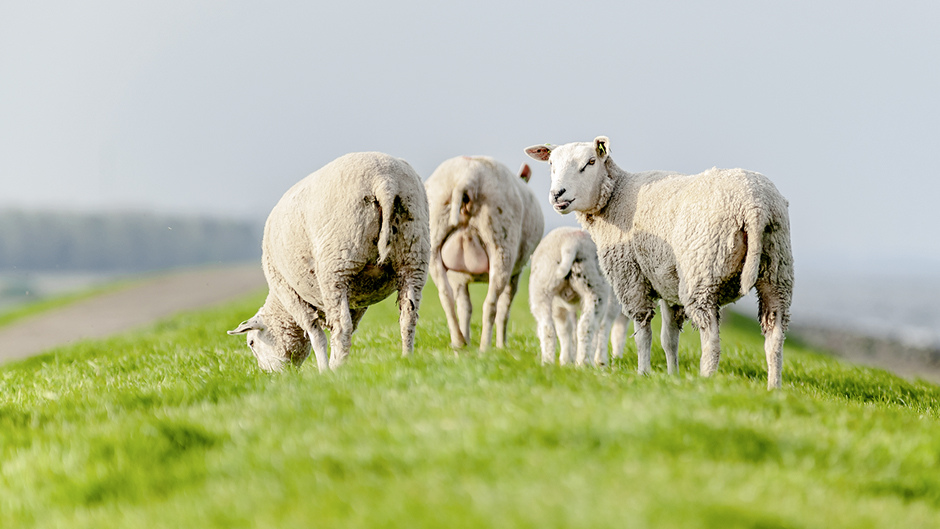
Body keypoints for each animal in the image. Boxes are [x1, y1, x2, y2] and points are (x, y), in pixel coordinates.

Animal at [226, 152, 432, 372]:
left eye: (251, 343)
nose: (269, 375)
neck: (281, 306)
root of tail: (384, 180)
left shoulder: (291, 294)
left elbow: (317, 337)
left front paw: (324, 370)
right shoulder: (357, 299)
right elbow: (349, 328)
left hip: (337, 264)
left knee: (342, 326)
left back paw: (336, 370)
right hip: (414, 254)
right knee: (408, 317)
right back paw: (406, 358)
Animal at [424, 155, 544, 348]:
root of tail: (467, 176)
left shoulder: (457, 276)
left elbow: (464, 307)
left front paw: (466, 338)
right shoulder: (516, 273)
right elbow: (504, 309)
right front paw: (502, 346)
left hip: (434, 240)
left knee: (446, 296)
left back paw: (459, 343)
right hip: (502, 244)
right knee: (491, 304)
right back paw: (485, 347)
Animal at [528, 227, 632, 368]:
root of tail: (570, 243)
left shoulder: (558, 305)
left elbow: (566, 329)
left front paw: (566, 360)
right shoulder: (614, 303)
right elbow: (610, 329)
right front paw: (603, 360)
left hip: (542, 286)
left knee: (547, 327)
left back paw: (548, 362)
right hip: (595, 288)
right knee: (587, 326)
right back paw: (584, 363)